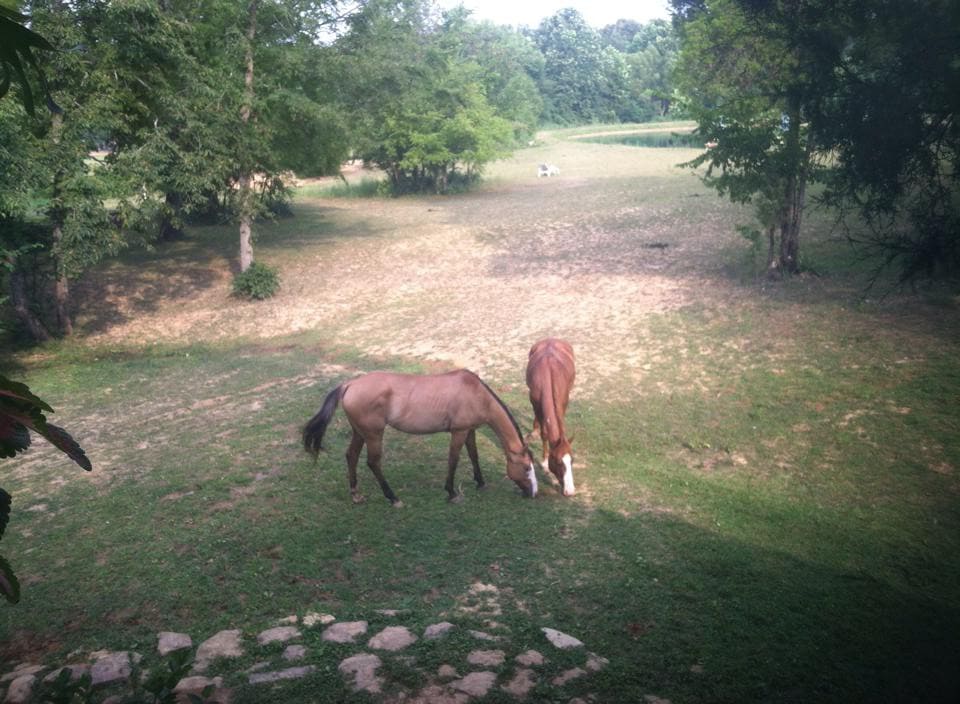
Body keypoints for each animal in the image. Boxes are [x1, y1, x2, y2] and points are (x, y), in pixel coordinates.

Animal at [302, 368, 536, 506]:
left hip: (359, 432)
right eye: (526, 468)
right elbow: (454, 460)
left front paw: (480, 482)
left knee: (351, 456)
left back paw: (355, 494)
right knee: (373, 462)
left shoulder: (469, 430)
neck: (476, 394)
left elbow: (474, 456)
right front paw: (451, 492)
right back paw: (393, 497)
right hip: (374, 434)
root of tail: (349, 385)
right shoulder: (459, 431)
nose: (533, 493)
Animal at [524, 338, 576, 498]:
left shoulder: (564, 402)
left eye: (572, 460)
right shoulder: (535, 401)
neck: (548, 376)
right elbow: (544, 433)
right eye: (558, 462)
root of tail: (551, 339)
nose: (570, 491)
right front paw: (545, 463)